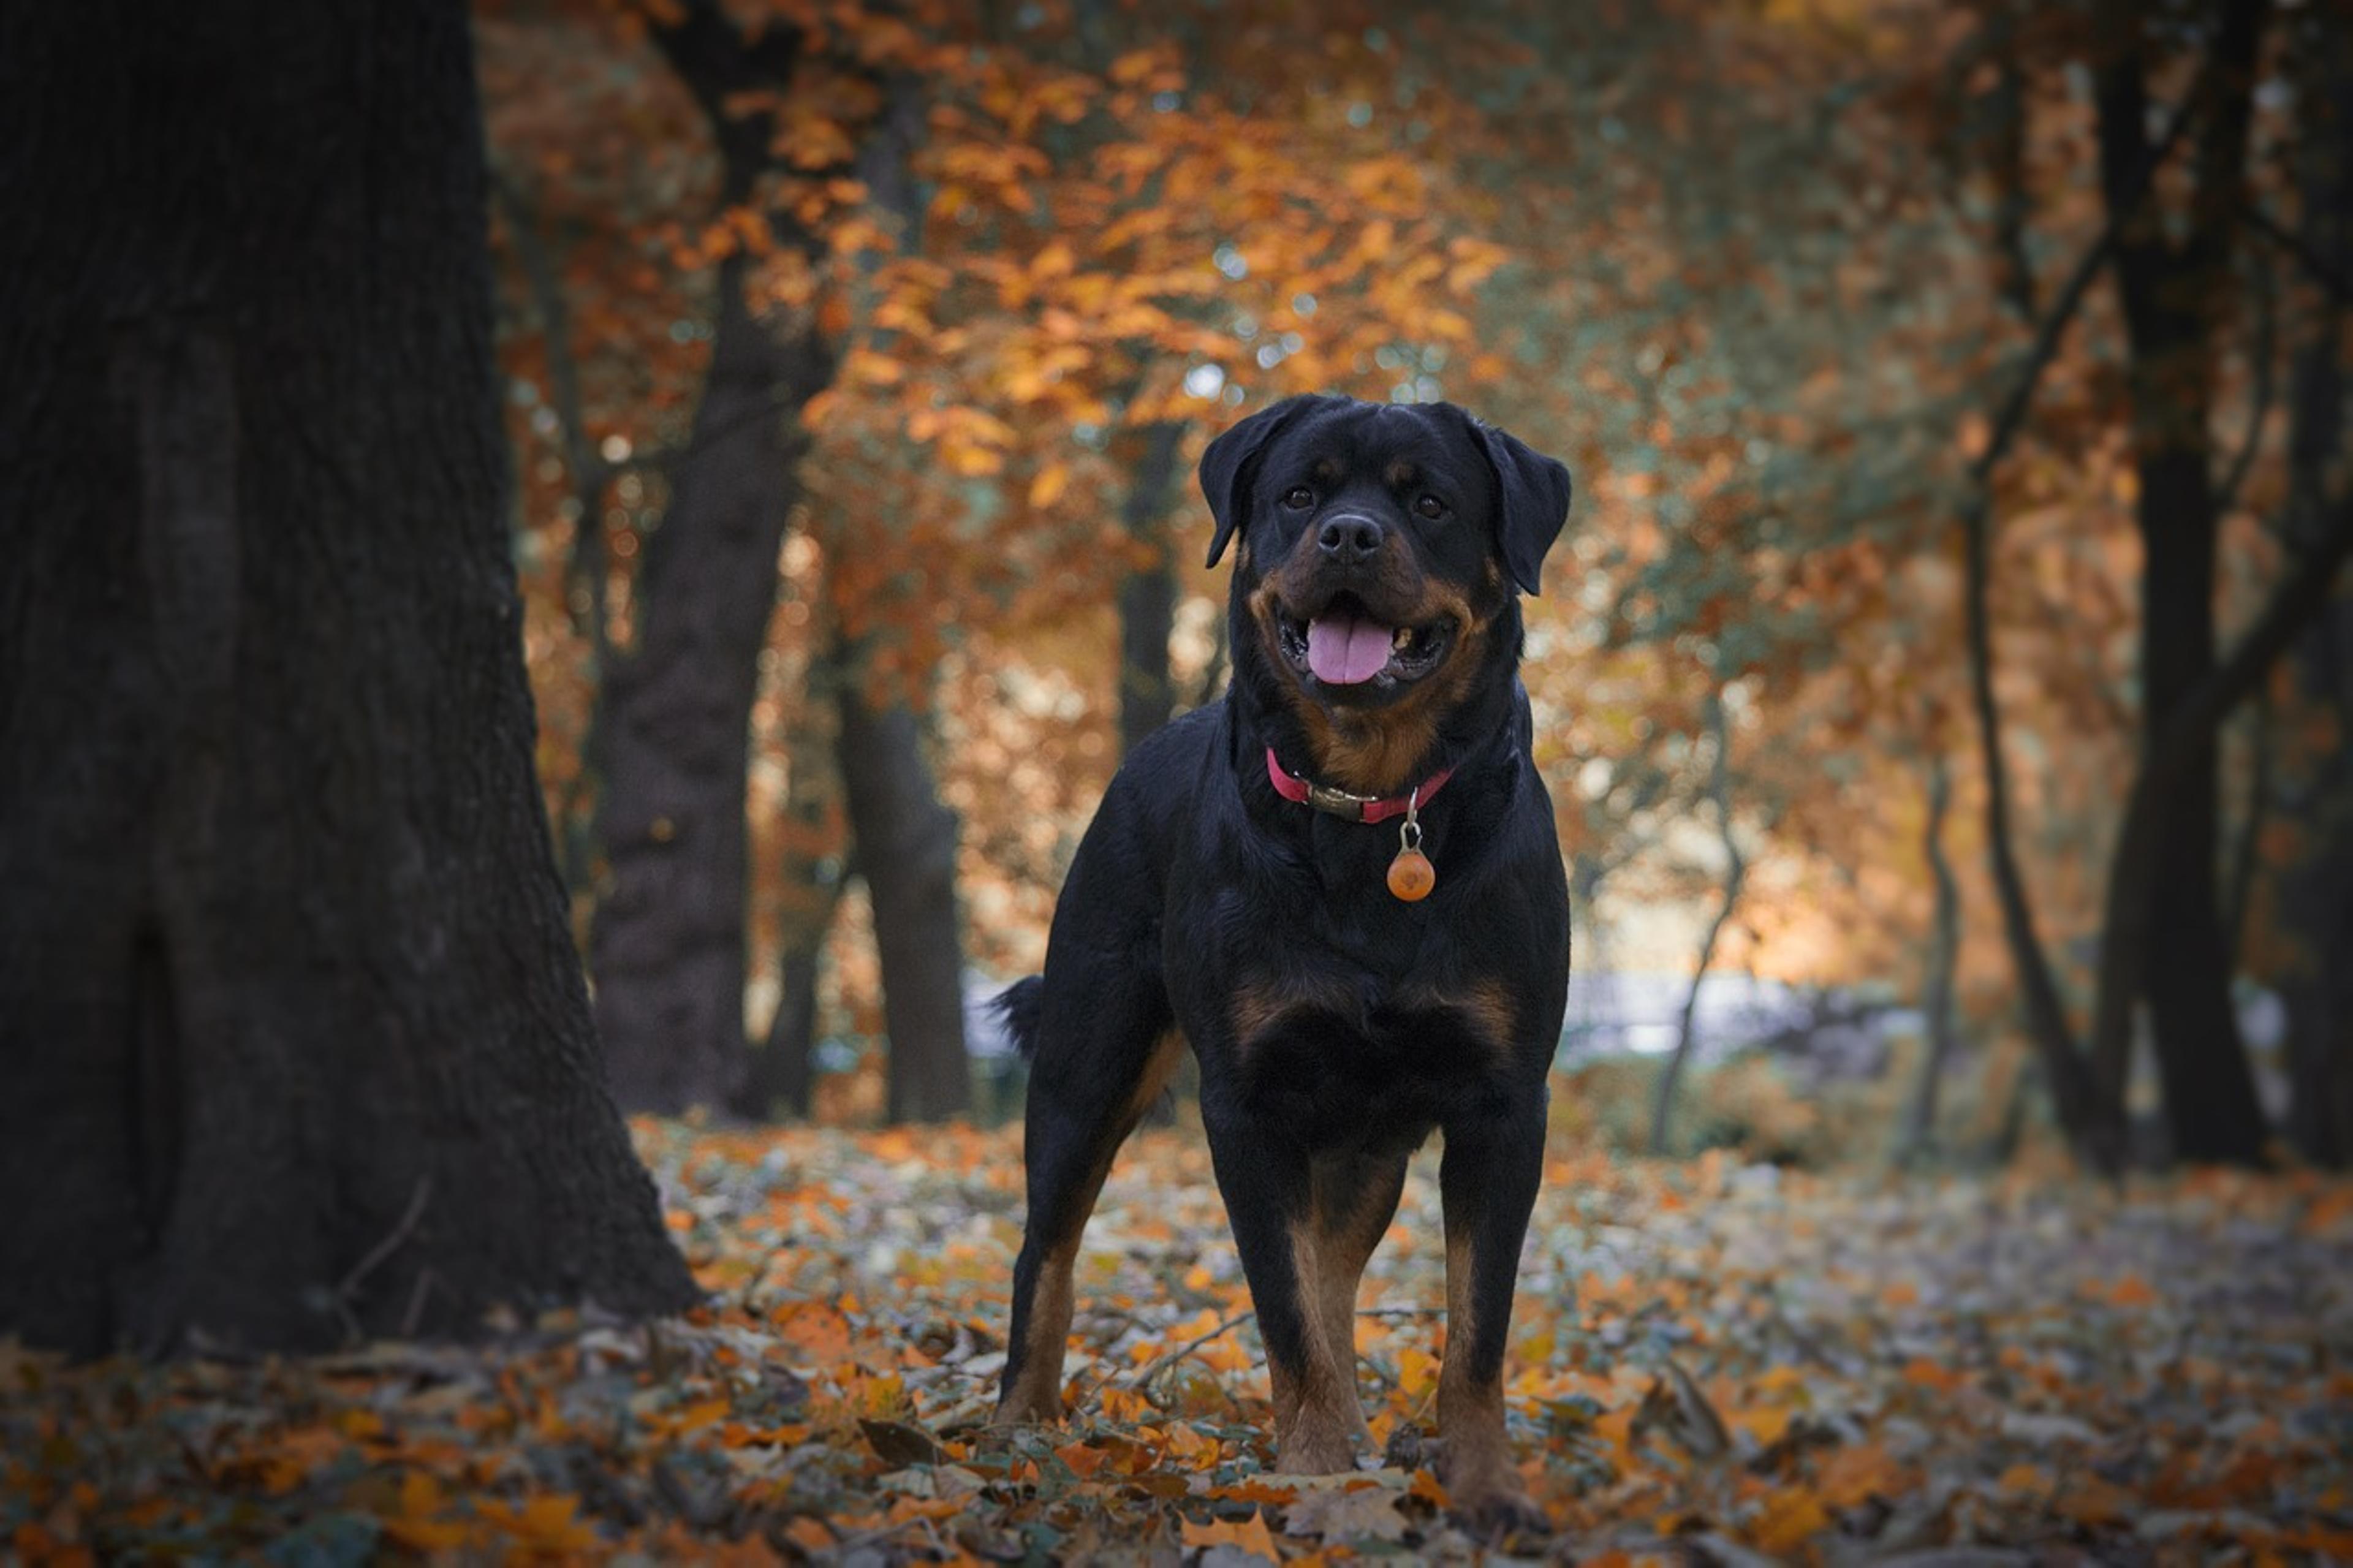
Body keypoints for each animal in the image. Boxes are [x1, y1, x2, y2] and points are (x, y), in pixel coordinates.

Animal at [998, 390, 1572, 1525]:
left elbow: (1471, 1325)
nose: (1349, 534)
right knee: (1048, 1245)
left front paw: (1482, 1482)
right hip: (1090, 1059)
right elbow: (1284, 1313)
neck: (1373, 808)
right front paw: (1316, 1484)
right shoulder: (1246, 1103)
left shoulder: (1504, 1101)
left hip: (1369, 1135)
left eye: (1430, 503)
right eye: (1301, 494)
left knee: (1338, 1271)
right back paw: (1017, 1430)